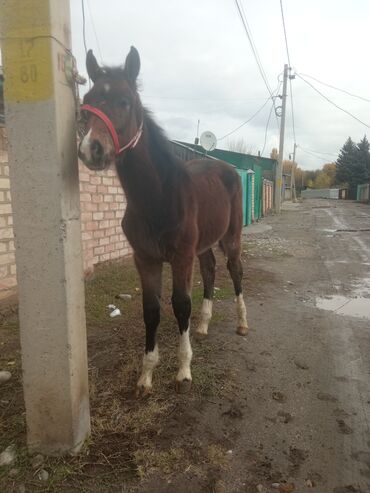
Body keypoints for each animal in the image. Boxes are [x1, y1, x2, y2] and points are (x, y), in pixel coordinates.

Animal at [77, 46, 249, 396]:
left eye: (125, 101)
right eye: (87, 100)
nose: (92, 150)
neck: (157, 198)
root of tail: (225, 168)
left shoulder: (181, 257)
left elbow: (180, 304)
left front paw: (183, 371)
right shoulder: (145, 259)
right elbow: (152, 309)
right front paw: (146, 376)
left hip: (231, 237)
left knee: (234, 270)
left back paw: (241, 323)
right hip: (203, 245)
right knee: (210, 270)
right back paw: (203, 325)